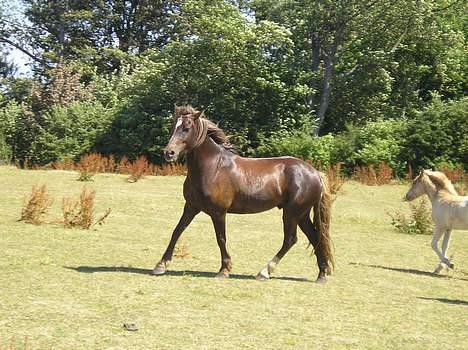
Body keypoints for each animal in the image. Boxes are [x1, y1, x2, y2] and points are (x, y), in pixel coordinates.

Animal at [152, 105, 334, 284]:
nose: (169, 153)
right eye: (173, 127)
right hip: (301, 215)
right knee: (315, 237)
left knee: (290, 239)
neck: (213, 167)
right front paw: (160, 265)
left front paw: (224, 270)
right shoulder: (191, 207)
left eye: (187, 128)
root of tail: (315, 173)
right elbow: (177, 231)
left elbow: (221, 238)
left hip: (291, 213)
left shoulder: (218, 212)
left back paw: (264, 272)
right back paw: (322, 275)